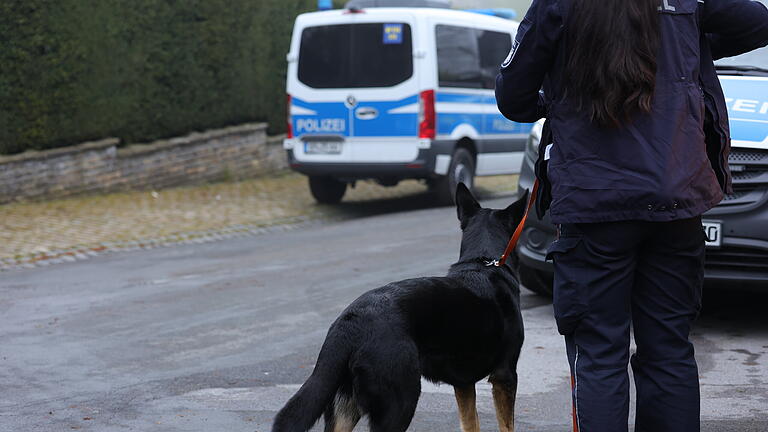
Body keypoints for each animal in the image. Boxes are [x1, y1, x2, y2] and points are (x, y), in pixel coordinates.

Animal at [272, 183, 532, 432]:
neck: (483, 263)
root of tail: (349, 323)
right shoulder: (505, 375)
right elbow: (507, 425)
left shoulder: (464, 383)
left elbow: (471, 423)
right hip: (400, 403)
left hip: (345, 407)